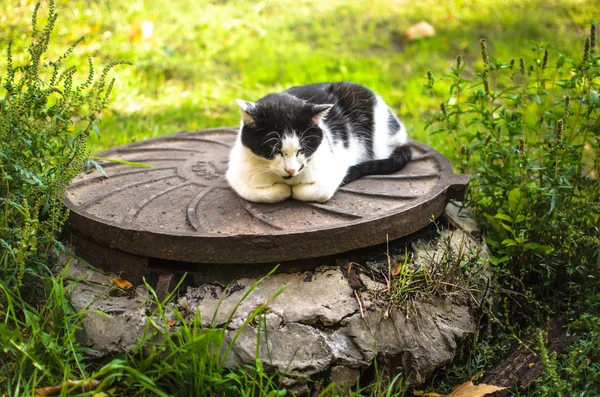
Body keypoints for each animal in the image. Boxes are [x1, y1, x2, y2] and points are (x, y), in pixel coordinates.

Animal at [225, 81, 412, 203]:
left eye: (302, 150)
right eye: (274, 150)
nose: (291, 170)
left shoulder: (336, 168)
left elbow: (314, 192)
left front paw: (294, 189)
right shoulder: (235, 173)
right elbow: (257, 193)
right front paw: (283, 189)